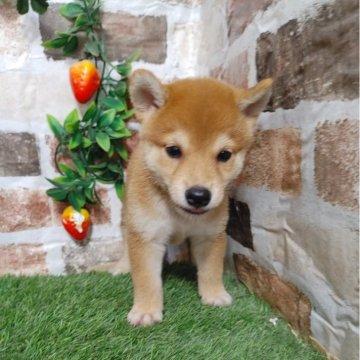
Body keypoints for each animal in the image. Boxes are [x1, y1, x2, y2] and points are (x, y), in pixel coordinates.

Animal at [122, 69, 272, 326]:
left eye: (224, 155)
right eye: (173, 150)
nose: (199, 196)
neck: (178, 214)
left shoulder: (210, 236)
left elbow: (211, 270)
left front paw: (214, 294)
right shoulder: (146, 237)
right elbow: (146, 279)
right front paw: (146, 310)